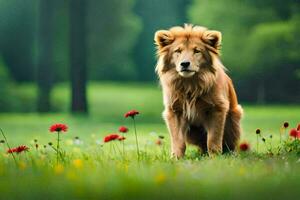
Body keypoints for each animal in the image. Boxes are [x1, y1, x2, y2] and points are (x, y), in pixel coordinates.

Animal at [154, 23, 243, 158]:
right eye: (178, 51)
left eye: (197, 51)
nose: (185, 64)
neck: (190, 84)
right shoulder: (174, 111)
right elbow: (178, 140)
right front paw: (176, 158)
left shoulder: (217, 109)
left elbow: (213, 139)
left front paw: (215, 158)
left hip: (234, 117)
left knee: (229, 143)